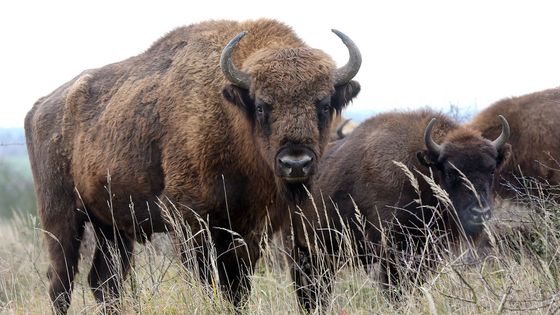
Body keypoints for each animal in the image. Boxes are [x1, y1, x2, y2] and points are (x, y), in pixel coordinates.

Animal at [24, 19, 360, 314]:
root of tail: (40, 107)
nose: (296, 162)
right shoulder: (188, 219)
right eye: (262, 106)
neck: (231, 116)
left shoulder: (250, 228)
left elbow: (237, 288)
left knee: (104, 281)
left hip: (112, 226)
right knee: (61, 282)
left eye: (324, 105)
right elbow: (205, 281)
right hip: (61, 217)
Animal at [294, 108, 512, 312]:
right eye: (451, 172)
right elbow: (395, 291)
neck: (421, 173)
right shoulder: (392, 253)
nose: (479, 213)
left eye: (491, 170)